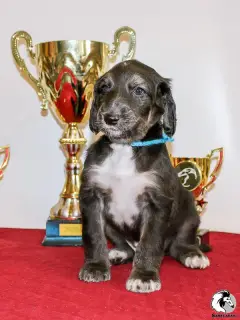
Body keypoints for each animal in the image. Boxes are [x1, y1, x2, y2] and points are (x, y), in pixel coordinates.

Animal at [78, 59, 210, 292]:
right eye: (104, 88)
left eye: (139, 90)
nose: (110, 118)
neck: (125, 147)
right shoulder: (91, 197)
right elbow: (93, 235)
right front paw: (95, 267)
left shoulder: (157, 203)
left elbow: (150, 242)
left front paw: (144, 276)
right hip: (111, 225)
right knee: (126, 246)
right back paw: (118, 253)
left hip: (190, 213)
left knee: (180, 244)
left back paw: (193, 255)